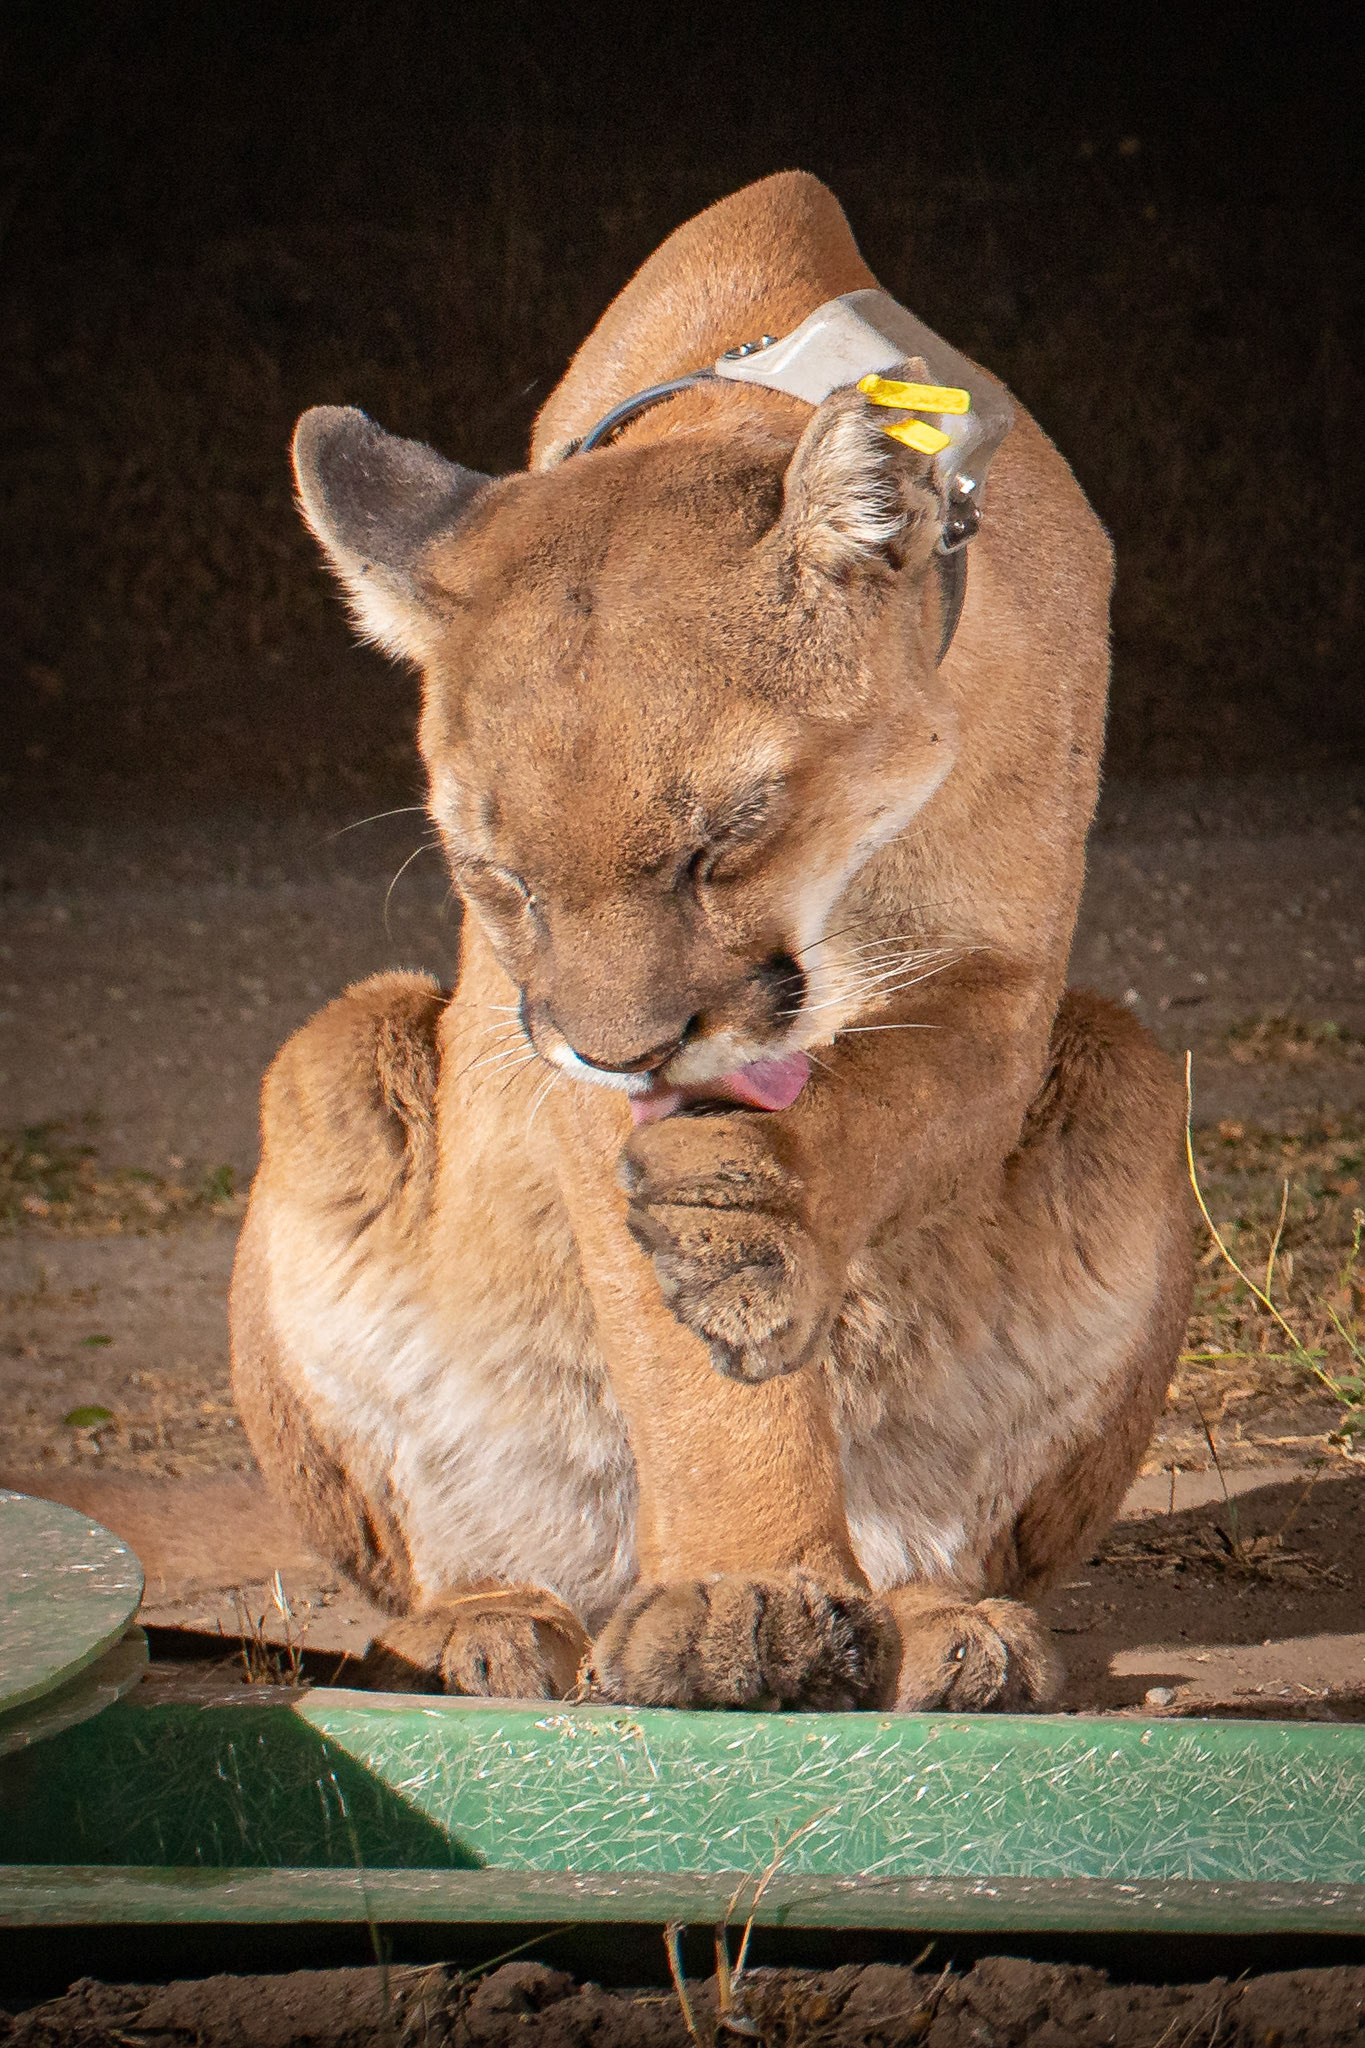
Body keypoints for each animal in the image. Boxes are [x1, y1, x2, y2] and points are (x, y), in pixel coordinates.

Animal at [229, 172, 1193, 1712]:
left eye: (724, 839)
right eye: (499, 877)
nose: (628, 1051)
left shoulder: (1007, 979)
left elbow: (885, 1097)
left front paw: (760, 1209)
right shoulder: (553, 1049)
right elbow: (683, 1362)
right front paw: (746, 1594)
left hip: (1130, 1070)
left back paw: (943, 1621)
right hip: (335, 1053)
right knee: (447, 1562)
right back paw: (481, 1629)